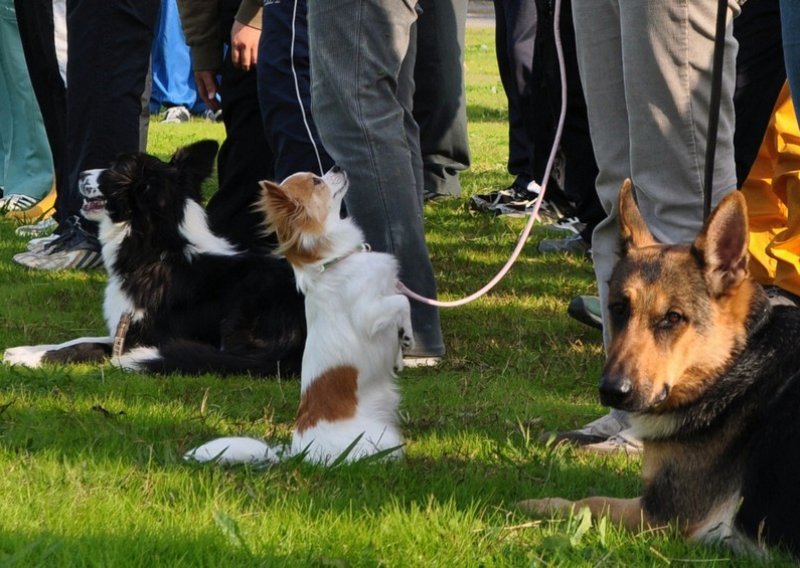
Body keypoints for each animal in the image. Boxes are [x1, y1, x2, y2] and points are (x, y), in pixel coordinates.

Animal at [520, 183, 800, 560]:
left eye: (672, 318)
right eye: (618, 309)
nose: (612, 391)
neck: (733, 363)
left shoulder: (662, 514)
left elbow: (590, 502)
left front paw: (537, 505)